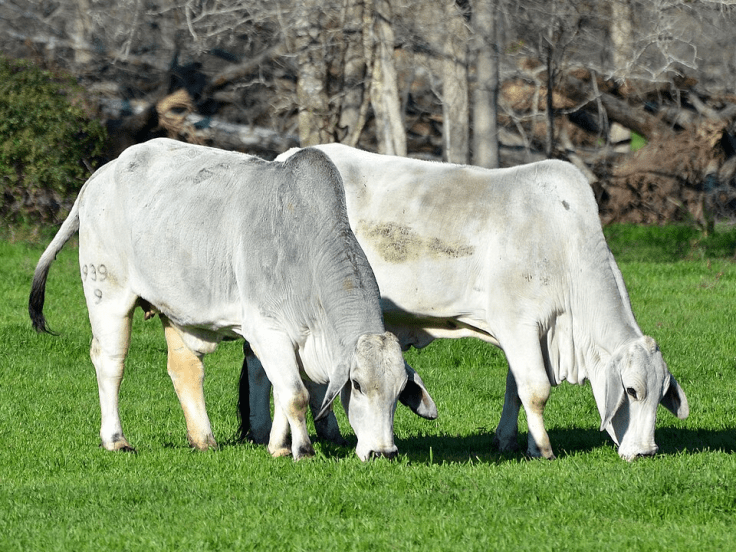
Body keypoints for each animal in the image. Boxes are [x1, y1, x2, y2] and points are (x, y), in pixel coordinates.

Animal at [29, 138, 436, 461]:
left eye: (399, 391)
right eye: (358, 385)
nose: (383, 452)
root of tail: (101, 174)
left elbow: (282, 391)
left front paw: (278, 446)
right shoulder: (267, 329)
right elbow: (295, 395)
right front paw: (302, 450)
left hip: (177, 309)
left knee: (185, 369)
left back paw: (203, 440)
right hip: (108, 294)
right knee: (110, 363)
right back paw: (116, 439)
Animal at [242, 143, 689, 461]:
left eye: (662, 393)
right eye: (631, 391)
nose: (647, 451)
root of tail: (283, 159)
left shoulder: (525, 334)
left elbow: (516, 387)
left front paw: (511, 440)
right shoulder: (518, 324)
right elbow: (536, 389)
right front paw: (543, 449)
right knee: (266, 369)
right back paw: (268, 433)